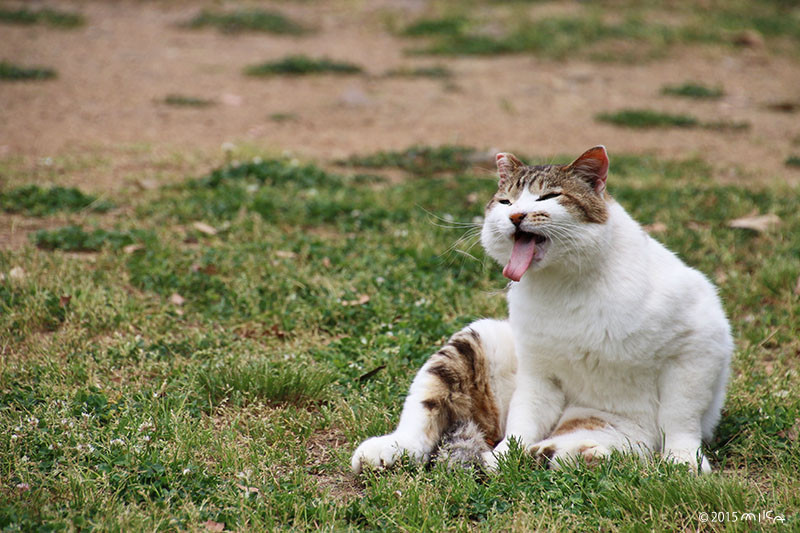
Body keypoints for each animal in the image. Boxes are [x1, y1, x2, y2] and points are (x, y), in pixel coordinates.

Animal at [354, 147, 736, 474]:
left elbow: (680, 417)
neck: (563, 282)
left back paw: (560, 453)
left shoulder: (698, 346)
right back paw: (389, 451)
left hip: (614, 430)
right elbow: (524, 418)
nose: (515, 215)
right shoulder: (537, 370)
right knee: (423, 415)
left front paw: (684, 462)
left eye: (549, 197)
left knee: (589, 450)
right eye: (505, 201)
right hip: (473, 342)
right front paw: (504, 458)